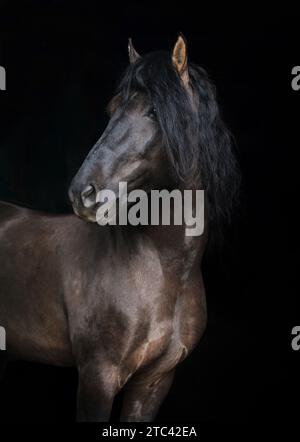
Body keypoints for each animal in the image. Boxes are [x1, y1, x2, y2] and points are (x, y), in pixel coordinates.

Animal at [0, 34, 239, 422]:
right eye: (112, 110)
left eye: (155, 112)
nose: (82, 193)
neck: (163, 270)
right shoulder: (98, 378)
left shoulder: (155, 382)